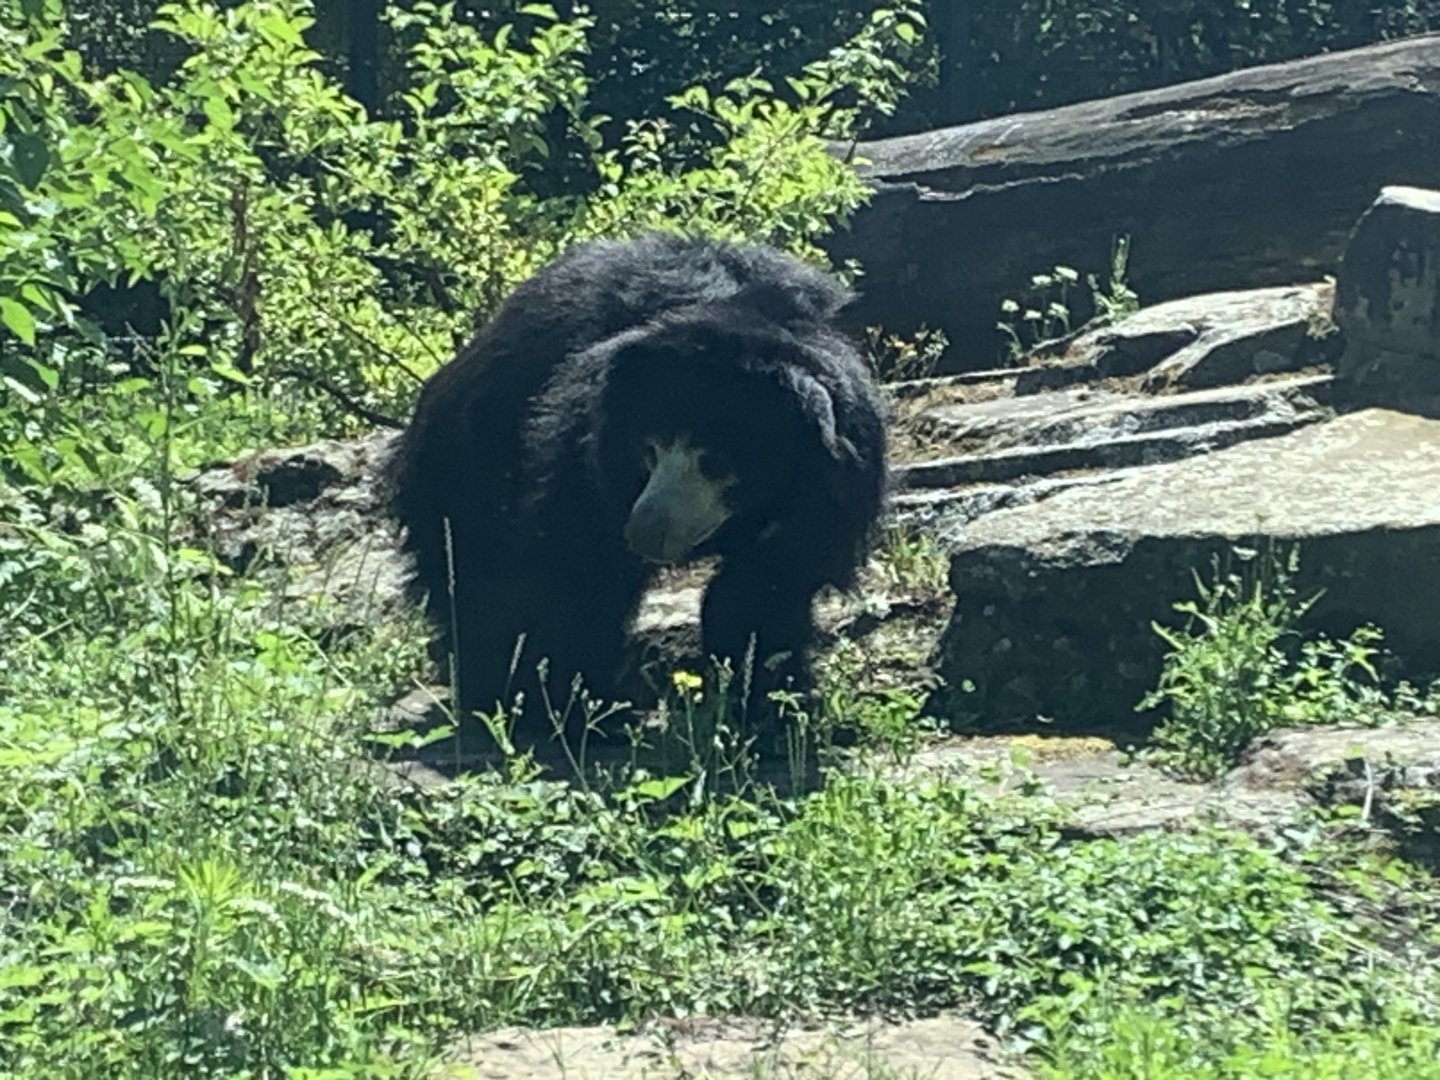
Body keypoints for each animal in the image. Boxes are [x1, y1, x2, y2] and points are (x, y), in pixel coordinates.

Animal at [387, 232, 888, 738]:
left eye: (715, 462)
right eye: (651, 447)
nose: (646, 532)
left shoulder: (827, 493)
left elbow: (764, 587)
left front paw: (766, 704)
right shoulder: (585, 442)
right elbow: (572, 564)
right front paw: (560, 707)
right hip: (467, 456)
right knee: (476, 566)